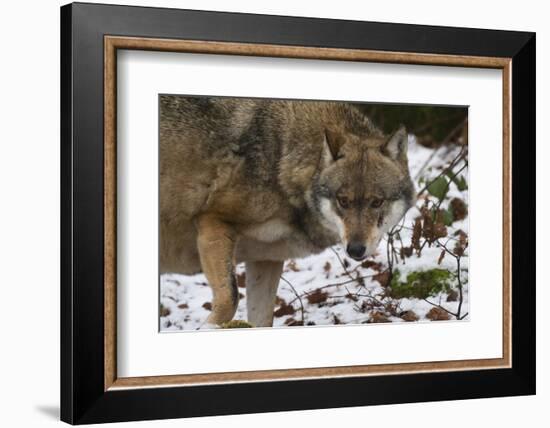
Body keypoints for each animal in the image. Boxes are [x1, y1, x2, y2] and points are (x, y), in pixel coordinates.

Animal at [162, 97, 416, 330]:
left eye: (377, 202)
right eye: (343, 201)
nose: (355, 250)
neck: (281, 161)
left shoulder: (266, 259)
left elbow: (262, 320)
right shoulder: (213, 222)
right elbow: (230, 298)